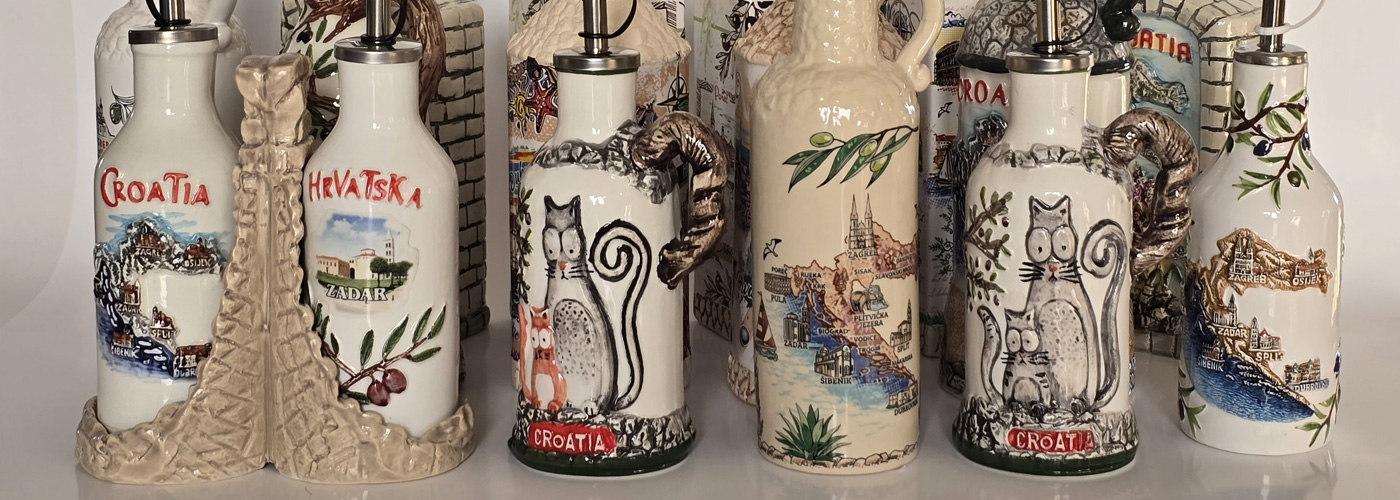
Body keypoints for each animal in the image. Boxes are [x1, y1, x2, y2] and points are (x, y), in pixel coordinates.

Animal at [540, 195, 649, 414]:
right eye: (551, 249)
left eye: (572, 249)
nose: (562, 265)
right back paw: (567, 403)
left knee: (599, 399)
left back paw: (590, 407)